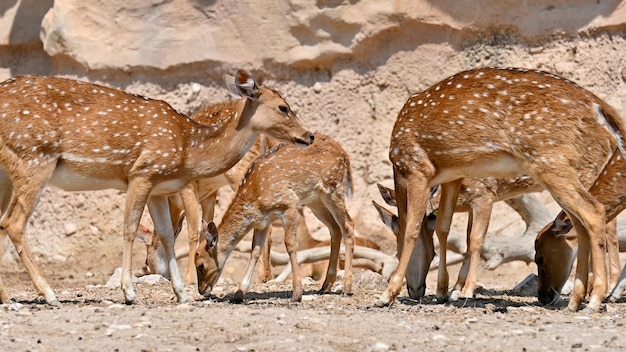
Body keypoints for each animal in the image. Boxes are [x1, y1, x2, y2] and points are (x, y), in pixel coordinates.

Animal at [0, 69, 312, 306]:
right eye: (283, 107)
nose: (308, 135)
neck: (188, 148)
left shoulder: (160, 187)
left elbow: (166, 236)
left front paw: (181, 293)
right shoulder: (143, 172)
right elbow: (129, 228)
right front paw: (129, 292)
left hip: (8, 172)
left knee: (2, 223)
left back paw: (7, 297)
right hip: (34, 157)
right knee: (13, 222)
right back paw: (49, 293)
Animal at [193, 133, 354, 304]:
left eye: (201, 265)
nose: (201, 290)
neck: (255, 196)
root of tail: (344, 153)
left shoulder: (289, 204)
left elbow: (290, 245)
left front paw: (296, 294)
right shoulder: (262, 221)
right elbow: (255, 251)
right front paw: (239, 294)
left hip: (333, 188)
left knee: (348, 225)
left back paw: (346, 287)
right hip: (315, 200)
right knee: (335, 228)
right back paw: (326, 286)